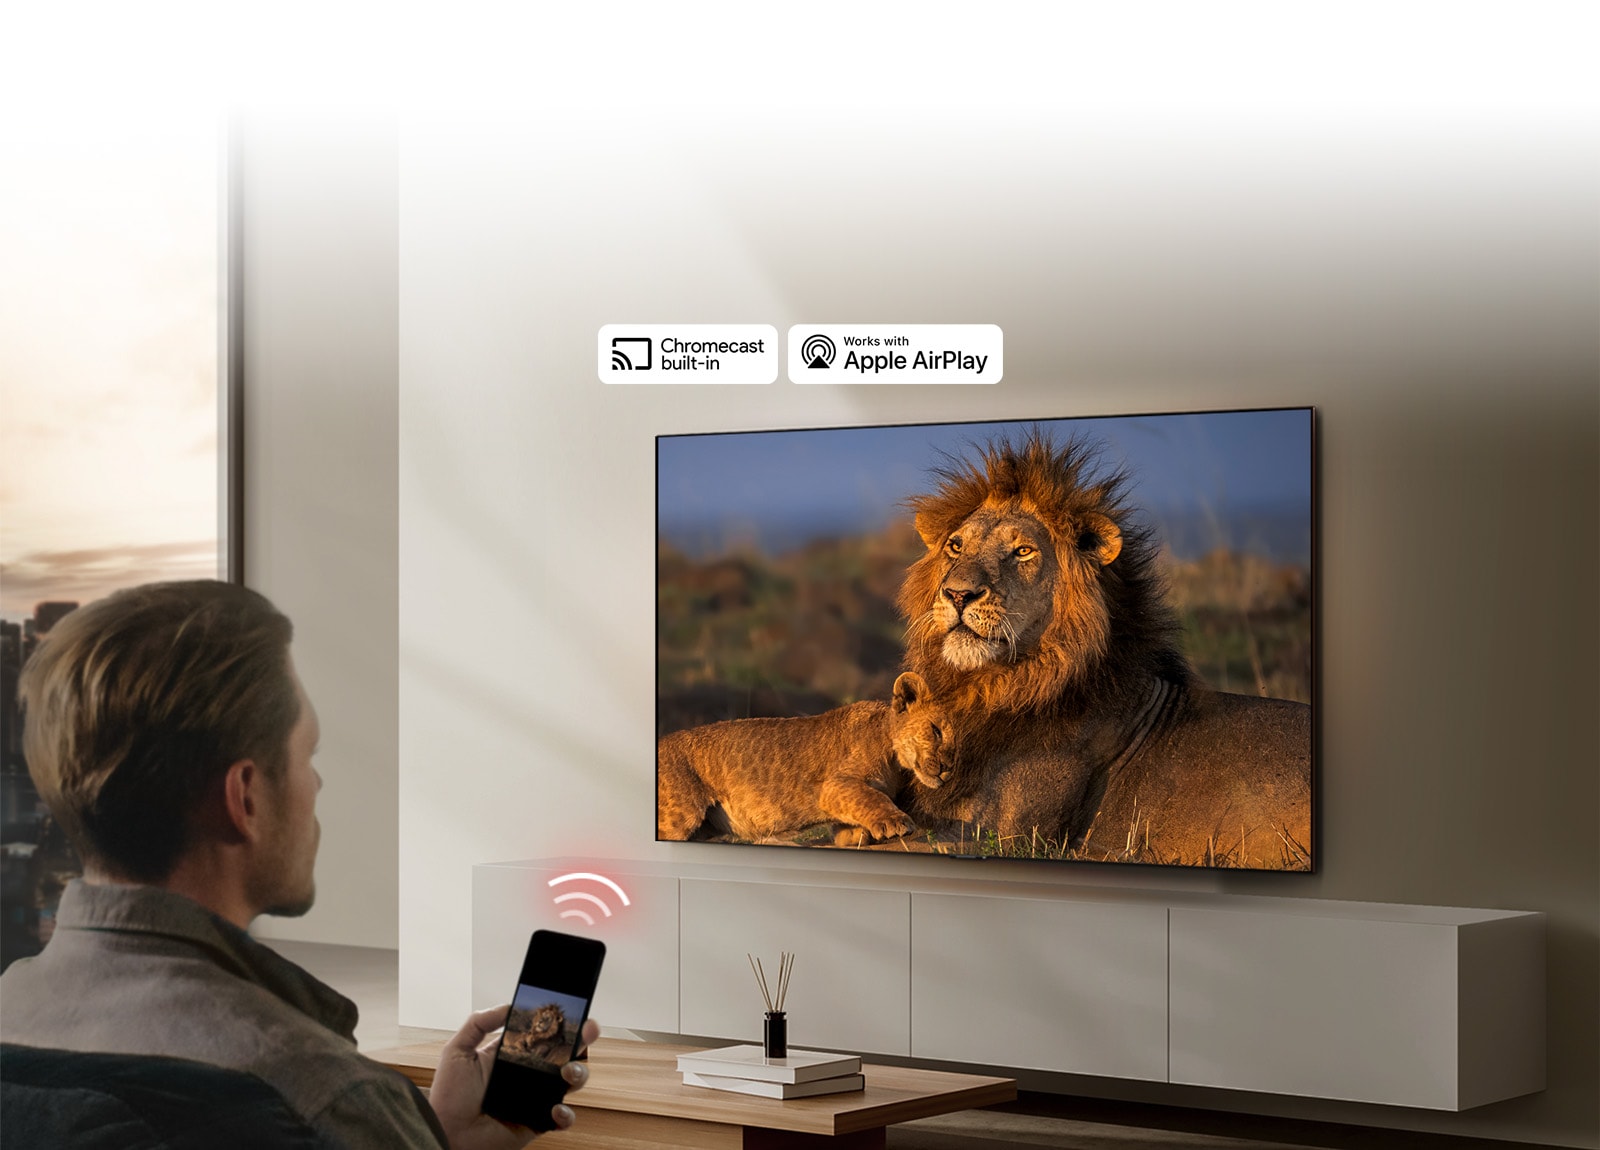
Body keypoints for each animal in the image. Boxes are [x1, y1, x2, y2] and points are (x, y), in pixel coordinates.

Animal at [659, 671, 947, 838]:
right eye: (936, 731)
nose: (946, 768)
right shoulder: (834, 785)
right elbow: (871, 797)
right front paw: (895, 822)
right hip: (678, 817)